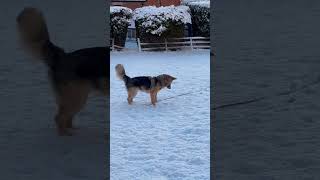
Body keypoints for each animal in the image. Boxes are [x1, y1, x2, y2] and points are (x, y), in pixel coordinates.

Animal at [16, 7, 109, 136]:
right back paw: (66, 136)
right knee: (59, 118)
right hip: (76, 97)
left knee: (67, 117)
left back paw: (74, 131)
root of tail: (62, 56)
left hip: (76, 98)